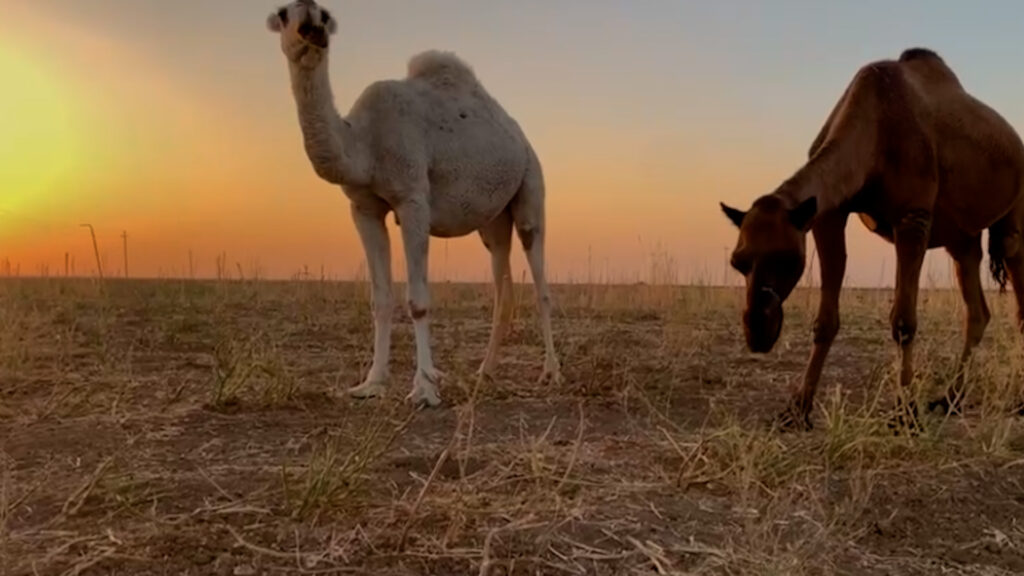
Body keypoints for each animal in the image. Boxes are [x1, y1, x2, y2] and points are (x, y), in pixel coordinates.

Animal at [266, 0, 561, 405]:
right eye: (283, 13)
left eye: (324, 14)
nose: (312, 27)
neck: (365, 142)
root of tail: (520, 135)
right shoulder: (364, 208)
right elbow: (380, 299)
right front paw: (371, 383)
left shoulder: (413, 200)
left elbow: (418, 301)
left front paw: (424, 388)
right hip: (494, 219)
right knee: (503, 284)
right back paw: (484, 371)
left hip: (532, 182)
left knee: (540, 278)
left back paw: (551, 372)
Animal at [720, 47, 1024, 428]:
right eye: (738, 262)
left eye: (790, 260)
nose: (757, 330)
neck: (875, 128)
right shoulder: (828, 214)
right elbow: (825, 321)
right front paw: (798, 410)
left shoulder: (913, 217)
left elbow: (904, 321)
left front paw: (905, 413)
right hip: (962, 237)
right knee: (977, 310)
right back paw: (950, 400)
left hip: (1013, 218)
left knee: (1014, 268)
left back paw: (1015, 402)